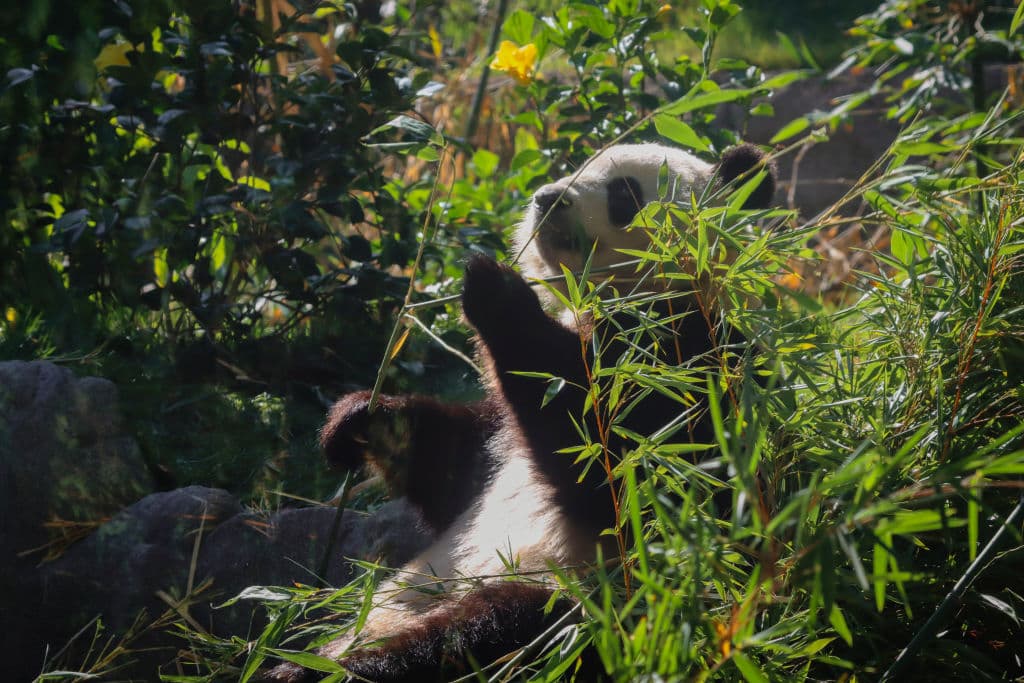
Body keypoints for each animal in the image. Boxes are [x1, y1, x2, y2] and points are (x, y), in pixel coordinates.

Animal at [265, 142, 777, 682]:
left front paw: (496, 289)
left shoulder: (693, 365)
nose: (548, 198)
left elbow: (623, 474)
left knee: (483, 635)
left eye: (624, 192)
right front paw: (363, 421)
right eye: (578, 166)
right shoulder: (499, 435)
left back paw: (324, 669)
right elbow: (457, 464)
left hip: (565, 602)